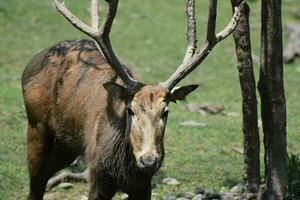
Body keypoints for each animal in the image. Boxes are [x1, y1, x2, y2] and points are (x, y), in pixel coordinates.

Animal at [21, 0, 243, 199]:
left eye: (165, 111)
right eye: (130, 109)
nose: (149, 160)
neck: (124, 170)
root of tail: (33, 60)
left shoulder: (144, 186)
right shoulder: (98, 176)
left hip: (66, 145)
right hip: (36, 126)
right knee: (35, 185)